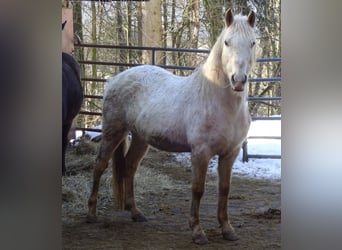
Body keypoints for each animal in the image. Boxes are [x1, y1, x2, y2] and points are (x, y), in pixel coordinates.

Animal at [87, 8, 255, 244]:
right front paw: (197, 231)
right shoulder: (200, 152)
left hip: (140, 138)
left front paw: (227, 229)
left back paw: (136, 213)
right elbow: (198, 189)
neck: (216, 100)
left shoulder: (231, 153)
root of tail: (115, 79)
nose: (238, 80)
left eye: (253, 43)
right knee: (100, 165)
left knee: (130, 167)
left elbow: (225, 189)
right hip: (114, 132)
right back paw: (91, 214)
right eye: (227, 42)